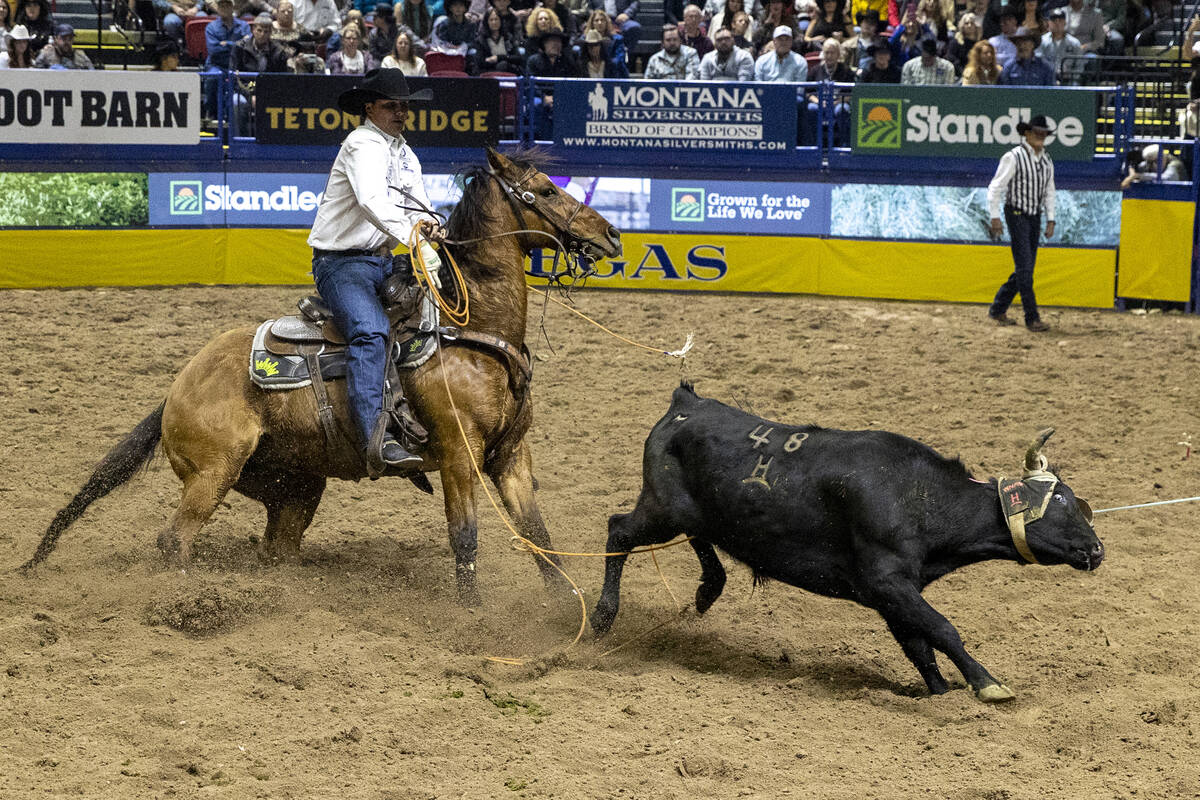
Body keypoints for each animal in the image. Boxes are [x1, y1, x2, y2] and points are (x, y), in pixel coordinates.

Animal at [23, 146, 624, 604]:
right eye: (546, 190)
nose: (613, 236)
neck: (471, 329)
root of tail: (176, 388)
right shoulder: (460, 455)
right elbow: (466, 537)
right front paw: (472, 614)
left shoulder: (511, 457)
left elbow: (539, 537)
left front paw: (565, 610)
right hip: (213, 472)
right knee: (175, 540)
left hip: (294, 485)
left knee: (274, 548)